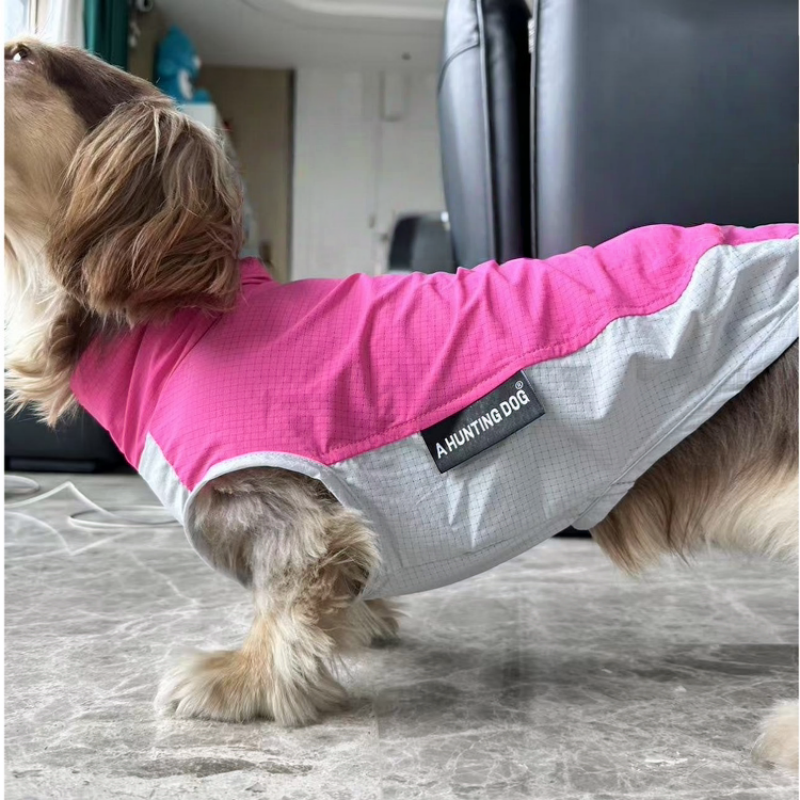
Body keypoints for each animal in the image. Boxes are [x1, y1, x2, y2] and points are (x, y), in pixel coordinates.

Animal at [5, 39, 798, 771]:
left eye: (18, 54)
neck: (188, 322)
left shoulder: (287, 507)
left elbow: (282, 600)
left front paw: (246, 678)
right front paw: (357, 624)